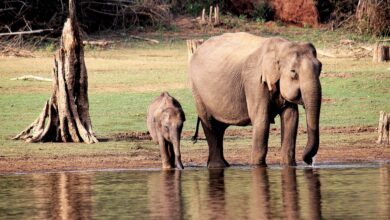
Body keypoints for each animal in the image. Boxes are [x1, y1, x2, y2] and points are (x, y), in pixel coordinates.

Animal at [187, 31, 322, 168]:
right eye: (293, 72)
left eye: (320, 68)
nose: (310, 161)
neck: (280, 47)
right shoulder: (254, 81)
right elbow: (261, 119)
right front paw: (258, 166)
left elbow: (291, 118)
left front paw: (289, 165)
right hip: (197, 90)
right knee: (210, 124)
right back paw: (218, 165)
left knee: (219, 128)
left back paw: (224, 165)